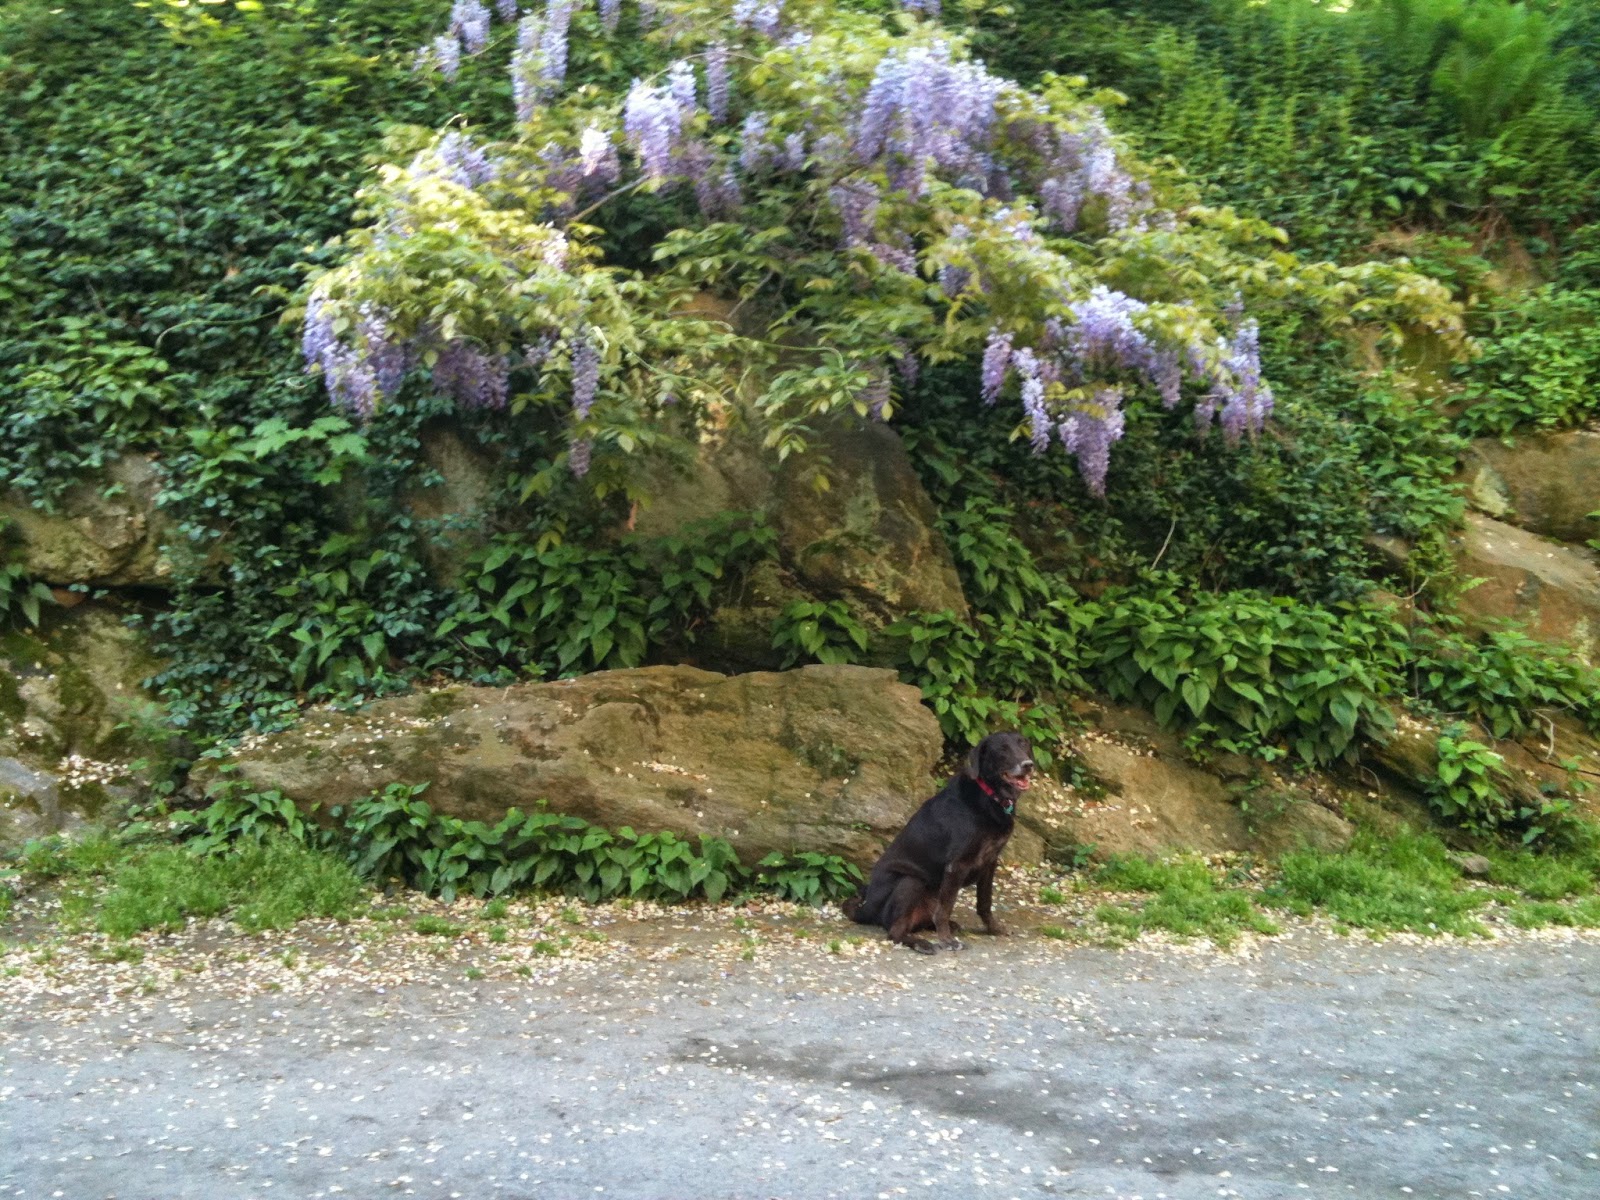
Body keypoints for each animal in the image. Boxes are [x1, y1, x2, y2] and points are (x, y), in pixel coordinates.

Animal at [844, 739, 1030, 953]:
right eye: (1002, 749)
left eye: (1024, 745)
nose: (1028, 765)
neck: (990, 796)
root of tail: (866, 910)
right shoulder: (957, 865)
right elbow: (944, 909)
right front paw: (947, 940)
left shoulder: (990, 861)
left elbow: (984, 902)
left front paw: (994, 929)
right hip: (911, 880)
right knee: (894, 931)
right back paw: (921, 943)